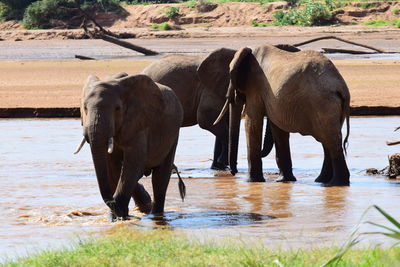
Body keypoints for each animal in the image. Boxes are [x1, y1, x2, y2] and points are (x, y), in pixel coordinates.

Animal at [75, 74, 184, 222]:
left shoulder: (139, 122)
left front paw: (120, 215)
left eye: (117, 108)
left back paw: (156, 215)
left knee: (160, 177)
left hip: (174, 132)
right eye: (85, 108)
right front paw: (115, 217)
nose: (113, 202)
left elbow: (134, 162)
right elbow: (112, 166)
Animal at [212, 45, 350, 187]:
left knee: (330, 140)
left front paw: (251, 181)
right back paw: (322, 181)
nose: (233, 172)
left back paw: (336, 183)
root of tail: (341, 87)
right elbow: (277, 128)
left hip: (323, 104)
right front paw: (284, 180)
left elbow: (252, 122)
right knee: (328, 140)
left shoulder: (255, 87)